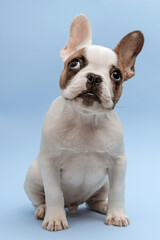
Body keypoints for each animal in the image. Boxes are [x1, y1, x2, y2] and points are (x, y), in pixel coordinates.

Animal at [23, 14, 144, 231]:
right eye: (74, 64)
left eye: (116, 75)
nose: (94, 77)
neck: (85, 120)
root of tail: (73, 205)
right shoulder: (49, 164)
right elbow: (54, 193)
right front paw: (55, 218)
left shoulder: (118, 163)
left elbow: (118, 191)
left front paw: (117, 214)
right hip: (34, 175)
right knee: (39, 199)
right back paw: (44, 210)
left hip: (103, 183)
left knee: (93, 200)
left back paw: (104, 206)